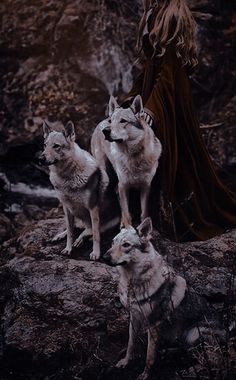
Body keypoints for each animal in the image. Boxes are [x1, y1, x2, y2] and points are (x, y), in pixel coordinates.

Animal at [91, 95, 162, 229]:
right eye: (111, 121)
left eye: (123, 121)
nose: (105, 131)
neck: (134, 158)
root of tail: (101, 121)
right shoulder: (123, 186)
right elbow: (127, 213)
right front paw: (128, 229)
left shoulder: (146, 186)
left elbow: (144, 213)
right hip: (106, 175)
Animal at [103, 217, 219, 380]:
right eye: (112, 243)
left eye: (126, 245)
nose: (104, 257)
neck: (134, 282)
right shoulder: (134, 318)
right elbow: (131, 344)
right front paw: (125, 362)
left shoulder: (154, 324)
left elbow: (149, 355)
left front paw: (145, 375)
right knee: (183, 349)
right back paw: (167, 352)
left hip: (194, 334)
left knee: (209, 360)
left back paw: (186, 371)